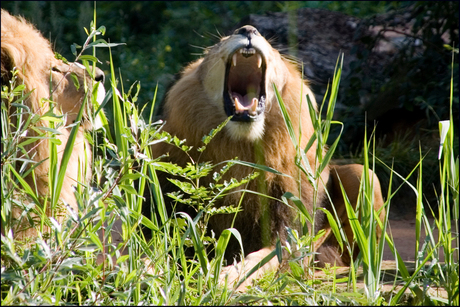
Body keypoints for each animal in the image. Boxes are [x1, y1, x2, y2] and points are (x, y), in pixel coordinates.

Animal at [151, 25, 384, 290]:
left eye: (271, 47)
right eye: (220, 42)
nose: (248, 29)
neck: (240, 149)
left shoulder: (290, 230)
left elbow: (259, 261)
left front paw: (225, 278)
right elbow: (153, 251)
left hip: (363, 175)